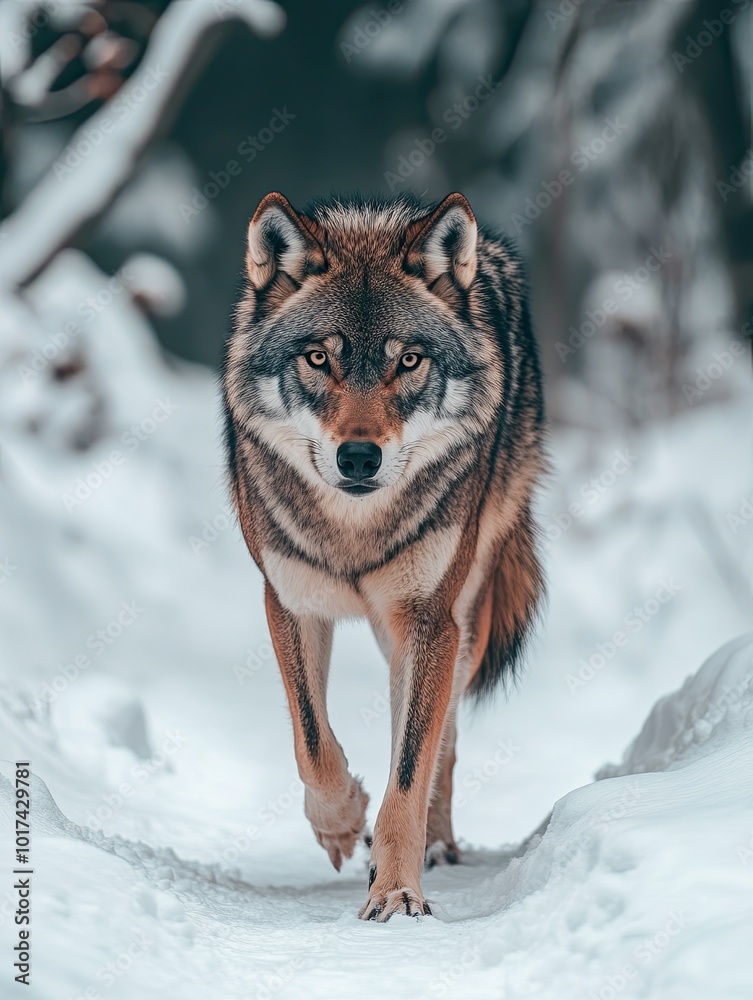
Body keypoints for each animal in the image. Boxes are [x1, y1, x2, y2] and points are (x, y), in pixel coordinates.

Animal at [222, 191, 545, 921]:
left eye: (409, 361)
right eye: (318, 359)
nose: (359, 457)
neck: (355, 530)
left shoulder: (428, 619)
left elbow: (408, 771)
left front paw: (397, 892)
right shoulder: (289, 602)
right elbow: (312, 741)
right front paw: (342, 824)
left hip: (458, 624)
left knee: (442, 742)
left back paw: (438, 846)